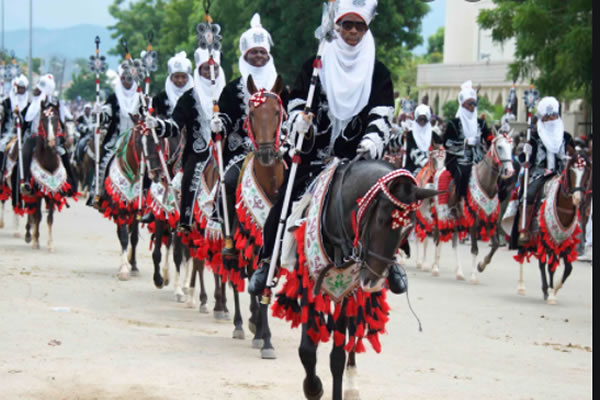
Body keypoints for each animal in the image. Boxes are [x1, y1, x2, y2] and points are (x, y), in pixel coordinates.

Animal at [97, 114, 161, 280]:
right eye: (139, 141)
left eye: (156, 141)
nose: (156, 172)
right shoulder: (120, 209)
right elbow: (124, 236)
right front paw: (124, 268)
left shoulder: (136, 211)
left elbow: (134, 238)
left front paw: (133, 265)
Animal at [274, 156, 440, 400]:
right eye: (380, 219)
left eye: (408, 229)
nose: (373, 281)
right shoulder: (310, 282)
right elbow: (307, 349)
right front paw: (313, 388)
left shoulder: (347, 290)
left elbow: (337, 356)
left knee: (352, 336)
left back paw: (352, 386)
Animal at [428, 133, 512, 282]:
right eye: (500, 147)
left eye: (511, 147)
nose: (510, 170)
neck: (486, 184)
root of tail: (439, 170)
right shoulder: (474, 220)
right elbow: (474, 249)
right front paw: (474, 276)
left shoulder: (489, 221)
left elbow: (495, 244)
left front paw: (481, 265)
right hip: (441, 214)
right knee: (438, 238)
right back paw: (436, 268)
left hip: (456, 218)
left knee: (454, 243)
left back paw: (459, 272)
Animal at [510, 149, 592, 304]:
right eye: (570, 171)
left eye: (586, 171)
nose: (578, 198)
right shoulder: (546, 238)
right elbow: (549, 266)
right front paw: (550, 292)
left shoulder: (564, 241)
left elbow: (568, 268)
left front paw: (554, 289)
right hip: (527, 234)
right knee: (523, 254)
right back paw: (522, 287)